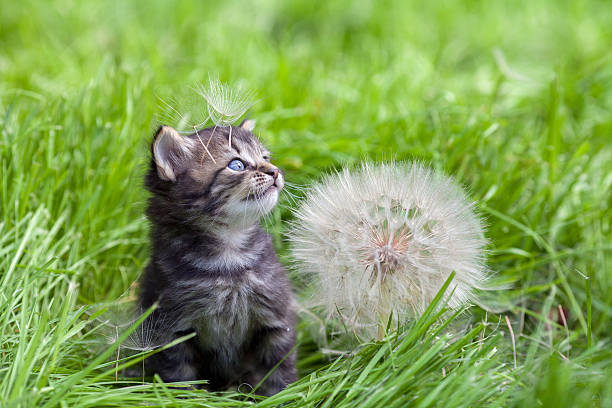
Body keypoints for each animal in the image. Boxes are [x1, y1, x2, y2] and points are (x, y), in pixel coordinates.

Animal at [142, 121, 298, 396]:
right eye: (237, 165)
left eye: (266, 158)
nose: (275, 171)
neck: (229, 258)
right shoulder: (170, 328)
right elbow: (179, 375)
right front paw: (186, 399)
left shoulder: (278, 318)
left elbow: (278, 369)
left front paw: (281, 397)